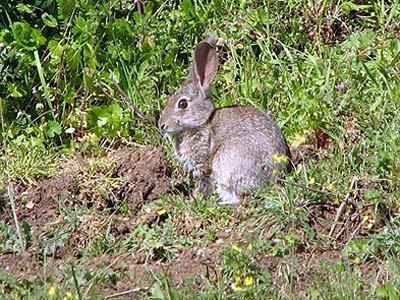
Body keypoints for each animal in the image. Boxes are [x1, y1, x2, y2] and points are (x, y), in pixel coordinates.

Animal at [158, 37, 292, 205]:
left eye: (182, 104)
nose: (162, 125)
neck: (203, 123)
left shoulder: (204, 163)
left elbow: (204, 182)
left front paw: (195, 198)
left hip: (227, 164)